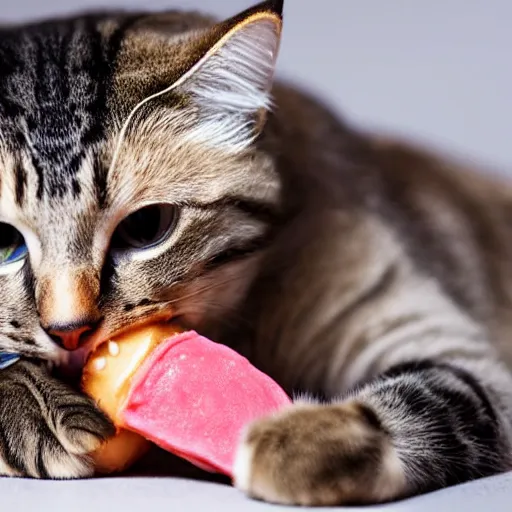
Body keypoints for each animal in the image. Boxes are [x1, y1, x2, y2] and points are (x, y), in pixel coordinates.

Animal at [1, 0, 512, 504]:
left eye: (145, 228)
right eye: (5, 242)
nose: (69, 332)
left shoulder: (445, 344)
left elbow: (434, 397)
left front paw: (305, 441)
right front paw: (31, 403)